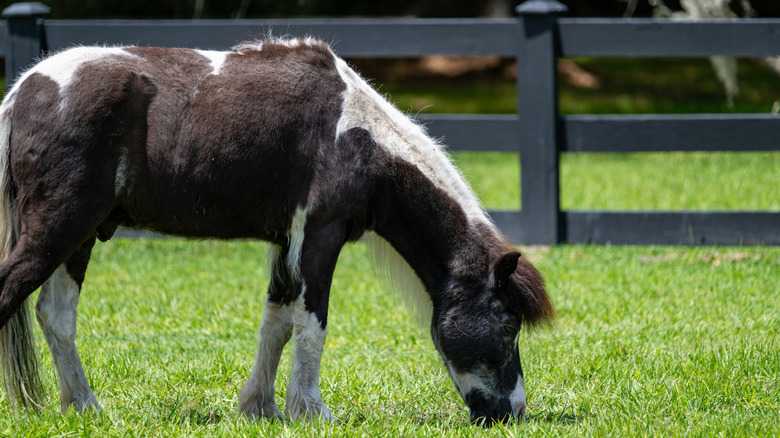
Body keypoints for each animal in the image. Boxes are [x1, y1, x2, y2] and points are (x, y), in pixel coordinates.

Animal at [0, 37, 553, 424]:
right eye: (508, 325)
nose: (513, 412)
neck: (355, 136)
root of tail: (23, 93)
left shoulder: (285, 245)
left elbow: (276, 323)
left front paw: (259, 405)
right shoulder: (320, 238)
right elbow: (312, 323)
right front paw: (310, 409)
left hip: (80, 236)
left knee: (57, 317)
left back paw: (85, 406)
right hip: (57, 228)